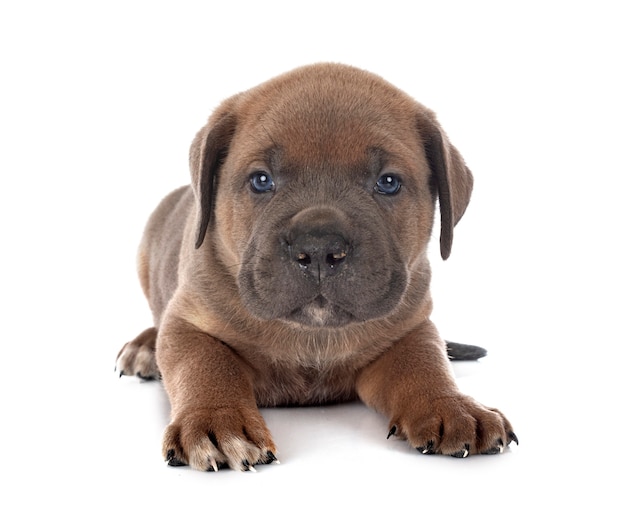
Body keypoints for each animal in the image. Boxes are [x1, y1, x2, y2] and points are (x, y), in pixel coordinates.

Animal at [114, 62, 516, 470]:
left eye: (388, 182)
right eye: (261, 180)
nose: (320, 249)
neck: (312, 334)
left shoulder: (410, 327)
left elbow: (425, 363)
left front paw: (452, 407)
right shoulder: (187, 322)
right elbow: (205, 363)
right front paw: (217, 420)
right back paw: (144, 346)